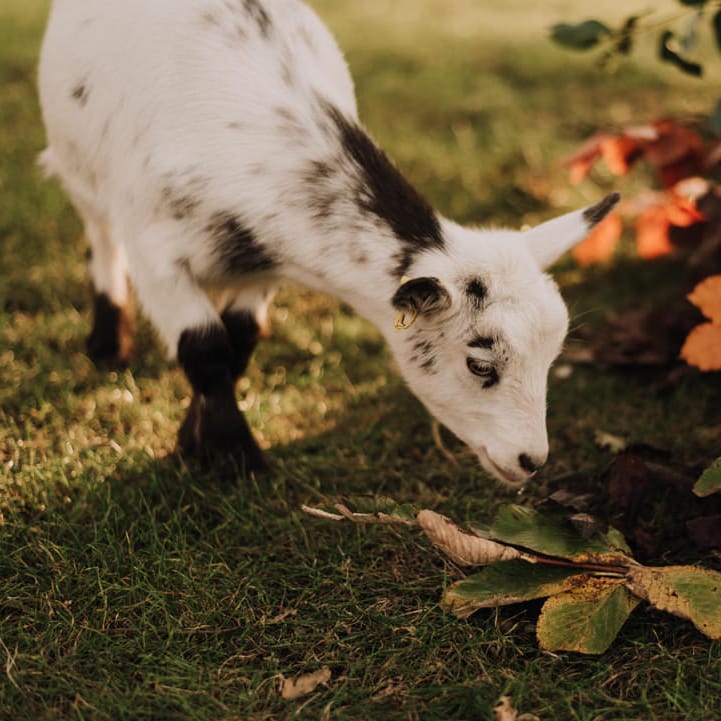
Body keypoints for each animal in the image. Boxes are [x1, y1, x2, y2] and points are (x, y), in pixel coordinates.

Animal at [38, 0, 618, 484]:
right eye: (480, 365)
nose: (532, 460)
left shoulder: (268, 264)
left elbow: (240, 340)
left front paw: (194, 442)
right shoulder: (158, 257)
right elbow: (205, 347)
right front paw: (232, 458)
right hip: (79, 163)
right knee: (100, 233)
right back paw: (108, 342)